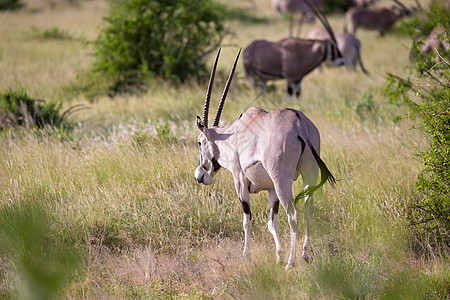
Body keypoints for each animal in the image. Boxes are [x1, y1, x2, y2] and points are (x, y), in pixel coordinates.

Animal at [195, 48, 336, 268]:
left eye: (199, 142)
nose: (199, 175)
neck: (233, 135)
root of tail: (300, 125)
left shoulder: (240, 181)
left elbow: (247, 220)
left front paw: (247, 255)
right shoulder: (271, 189)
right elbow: (271, 222)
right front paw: (278, 254)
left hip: (282, 180)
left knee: (293, 214)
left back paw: (291, 262)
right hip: (308, 174)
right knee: (308, 208)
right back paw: (305, 254)